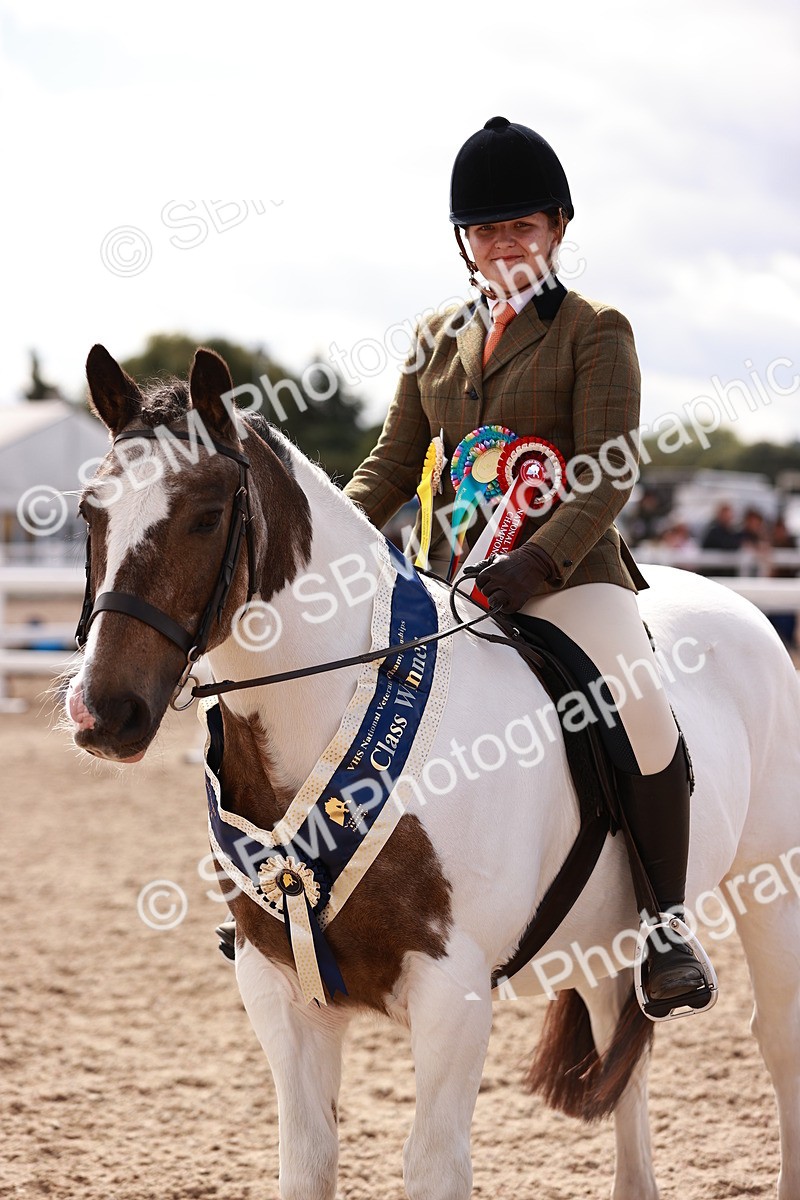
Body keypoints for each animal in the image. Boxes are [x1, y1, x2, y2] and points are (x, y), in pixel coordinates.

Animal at [65, 344, 800, 1200]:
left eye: (208, 516)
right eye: (89, 513)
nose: (104, 714)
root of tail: (737, 603)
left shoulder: (452, 992)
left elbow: (433, 1165)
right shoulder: (279, 987)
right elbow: (307, 1158)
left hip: (771, 888)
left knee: (778, 1039)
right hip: (605, 937)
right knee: (626, 1057)